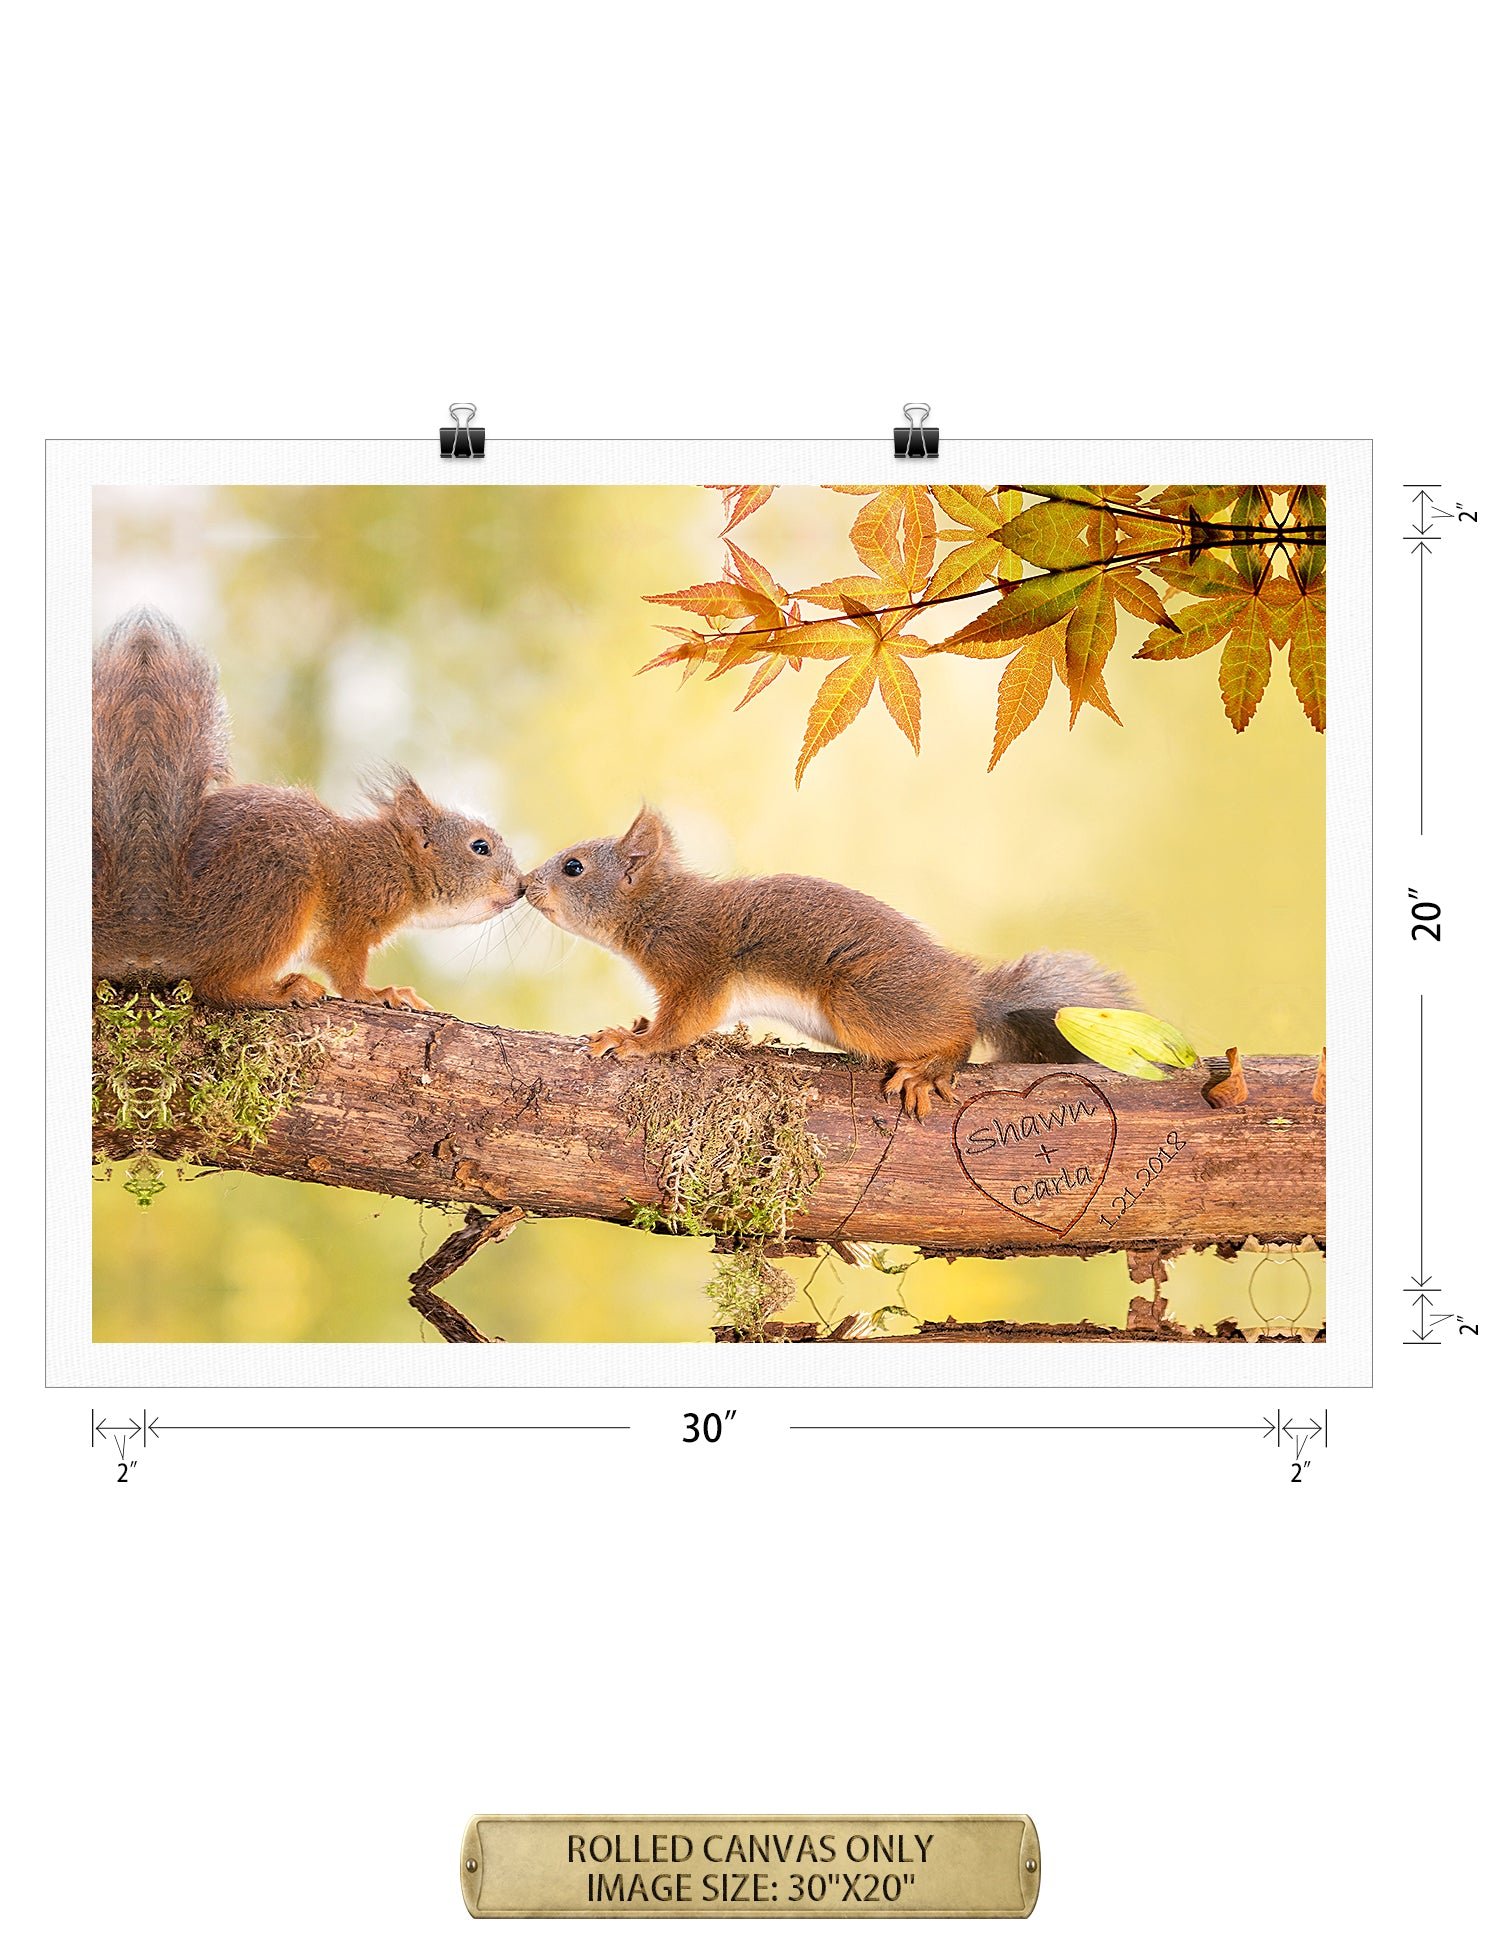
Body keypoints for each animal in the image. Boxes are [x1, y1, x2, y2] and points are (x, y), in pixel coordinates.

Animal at [92, 606, 523, 1008]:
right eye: (480, 847)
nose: (520, 887)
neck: (395, 861)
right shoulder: (354, 911)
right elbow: (343, 966)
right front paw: (378, 992)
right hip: (279, 890)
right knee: (215, 984)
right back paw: (284, 990)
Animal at [523, 807, 1135, 1117]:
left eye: (573, 867)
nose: (526, 884)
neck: (657, 908)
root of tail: (968, 992)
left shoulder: (699, 968)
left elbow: (682, 1025)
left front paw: (634, 1042)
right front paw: (636, 1023)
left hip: (862, 1003)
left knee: (958, 1037)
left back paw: (931, 1068)